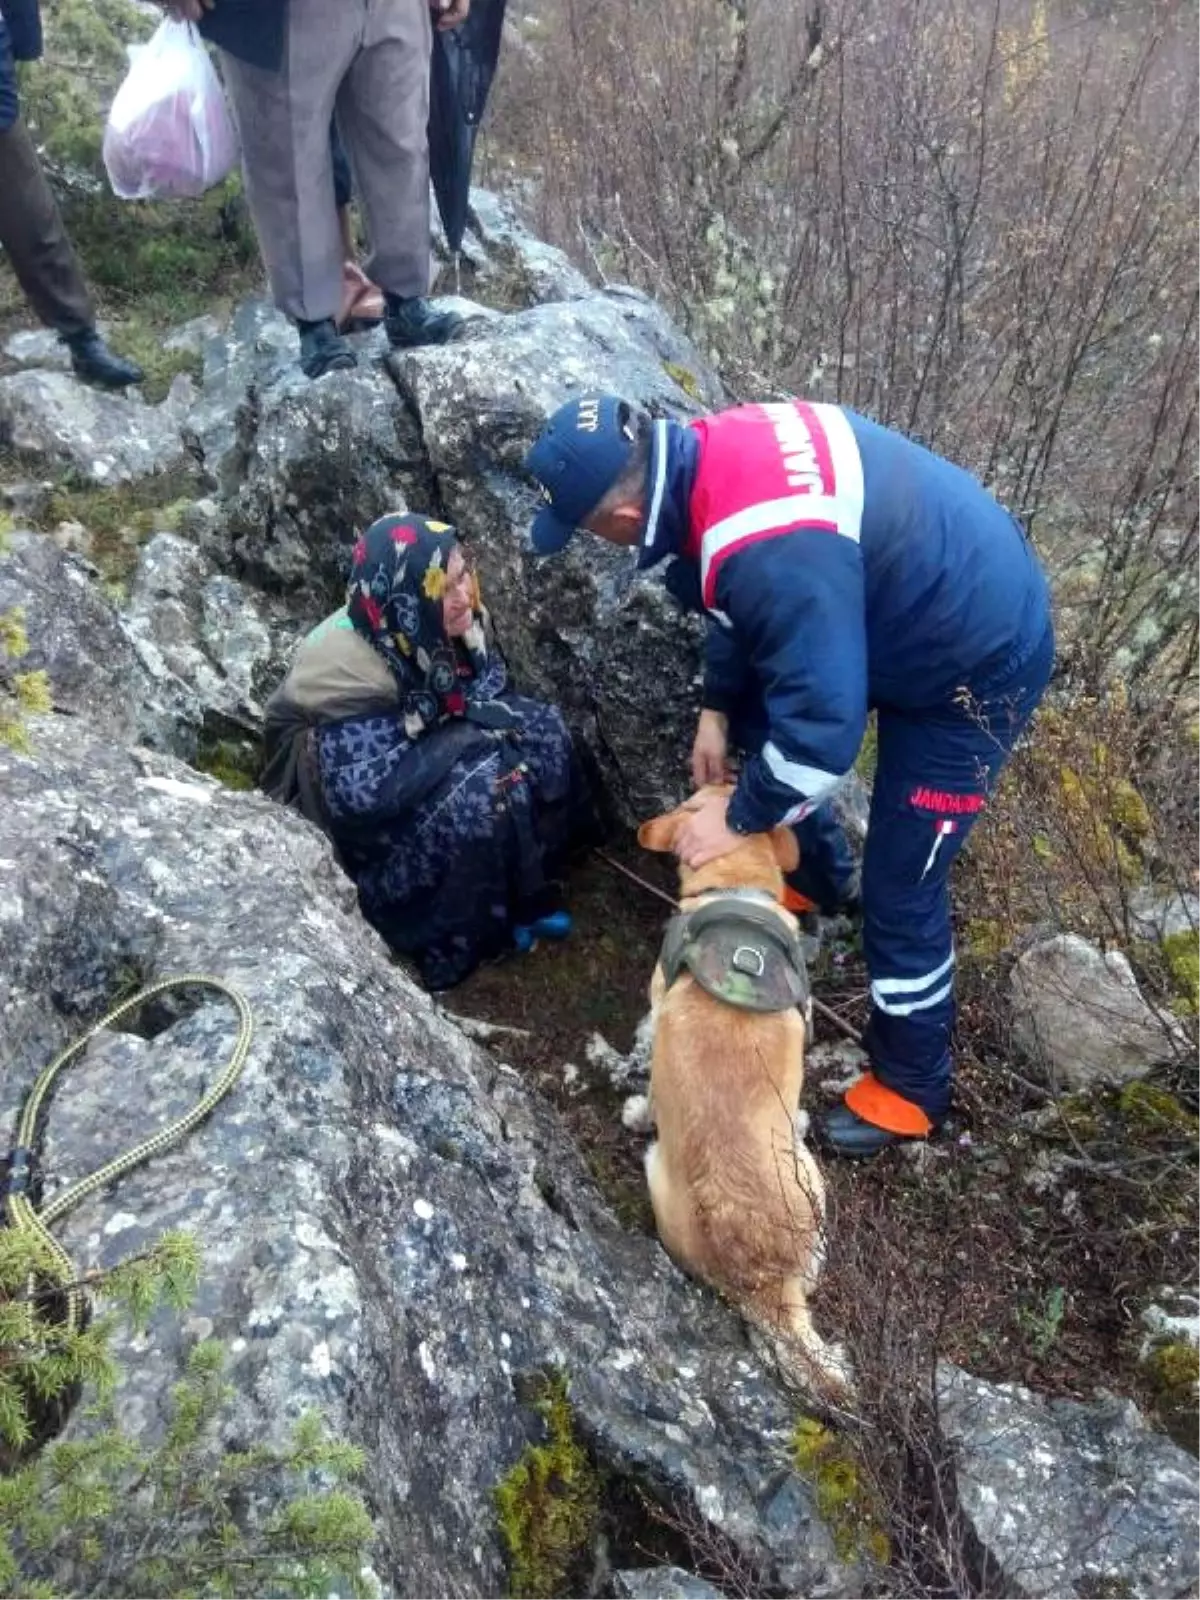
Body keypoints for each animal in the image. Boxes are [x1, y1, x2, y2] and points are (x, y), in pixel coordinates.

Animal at [624, 793, 851, 1395]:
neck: (736, 893)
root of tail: (762, 1282)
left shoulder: (657, 1008)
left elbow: (650, 1090)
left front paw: (637, 1110)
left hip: (660, 1170)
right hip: (812, 1181)